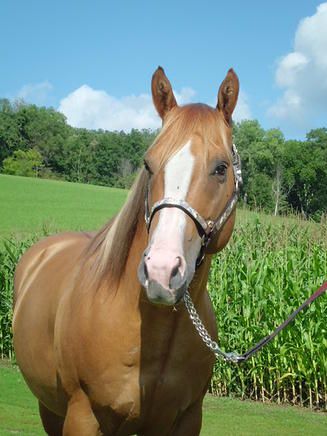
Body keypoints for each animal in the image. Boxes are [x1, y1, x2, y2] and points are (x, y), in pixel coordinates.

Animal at [12, 66, 241, 434]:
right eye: (148, 164)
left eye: (221, 168)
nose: (161, 271)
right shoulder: (82, 416)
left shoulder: (185, 419)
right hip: (50, 409)